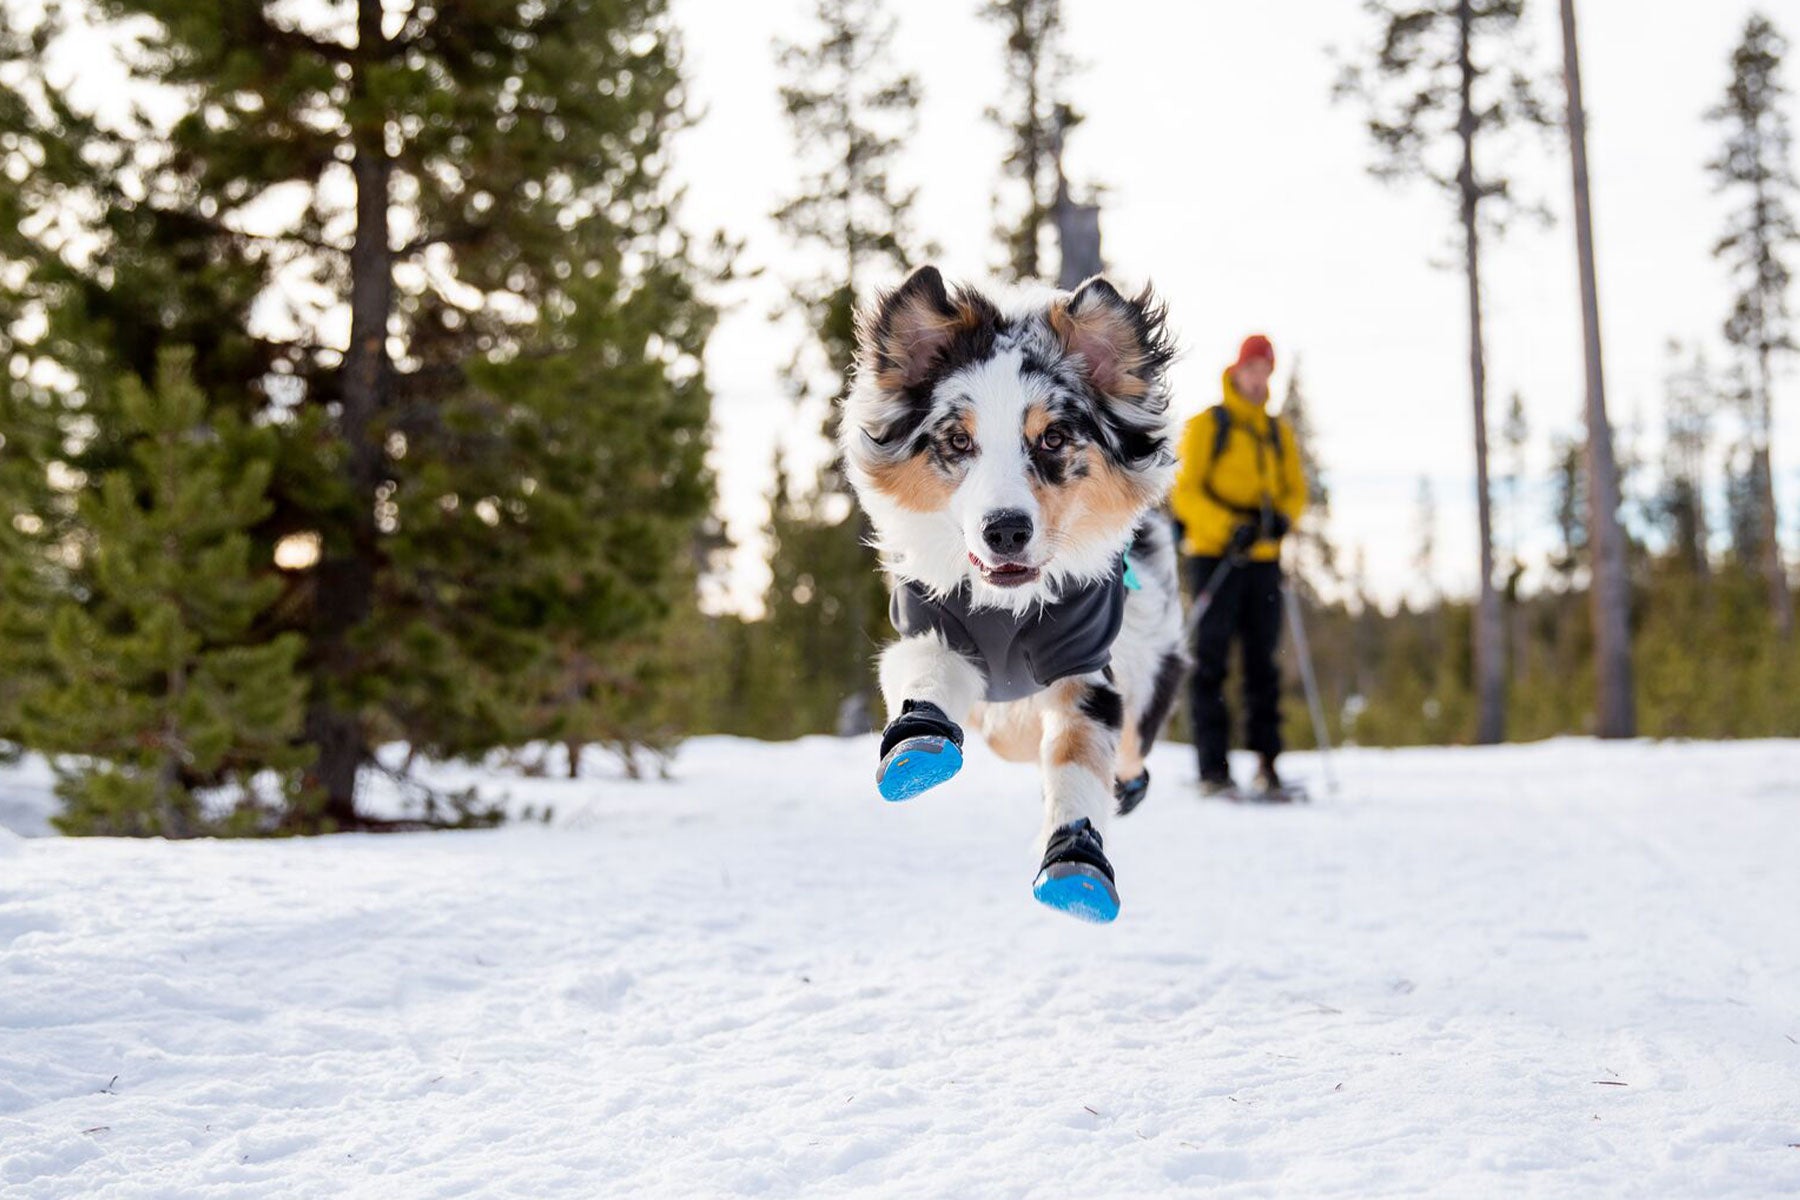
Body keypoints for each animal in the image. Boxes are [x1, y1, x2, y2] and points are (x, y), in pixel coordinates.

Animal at [842, 262, 1195, 921]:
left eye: (1053, 438)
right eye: (958, 442)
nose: (1005, 529)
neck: (1009, 609)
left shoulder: (1087, 666)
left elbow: (1078, 759)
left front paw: (1076, 864)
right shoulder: (931, 621)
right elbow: (923, 673)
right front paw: (916, 747)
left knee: (1127, 750)